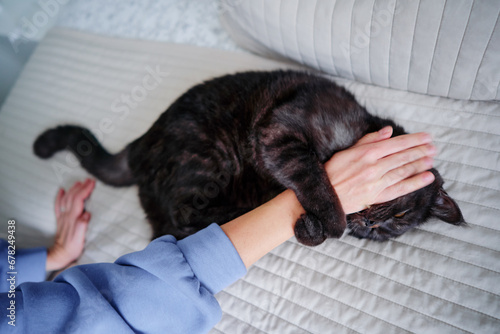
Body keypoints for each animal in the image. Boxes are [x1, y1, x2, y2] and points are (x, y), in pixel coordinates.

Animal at [34, 70, 464, 245]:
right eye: (400, 214)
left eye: (397, 225)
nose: (375, 226)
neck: (363, 128)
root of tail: (140, 144)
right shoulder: (278, 131)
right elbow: (313, 173)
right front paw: (333, 219)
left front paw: (313, 228)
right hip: (210, 156)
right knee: (180, 219)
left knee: (166, 231)